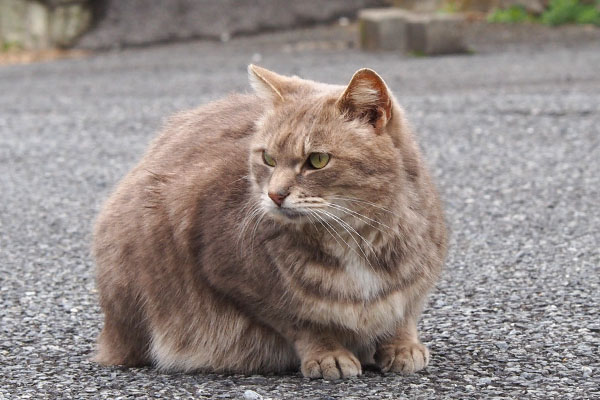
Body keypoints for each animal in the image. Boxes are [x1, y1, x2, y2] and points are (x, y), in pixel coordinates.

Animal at [92, 65, 446, 378]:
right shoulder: (233, 275)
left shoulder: (420, 277)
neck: (356, 236)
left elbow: (403, 311)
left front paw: (401, 345)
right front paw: (328, 353)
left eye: (318, 160)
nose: (275, 194)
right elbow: (302, 321)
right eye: (268, 159)